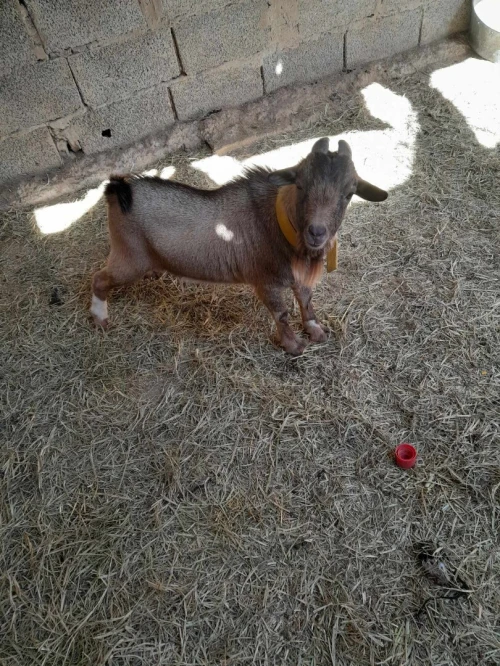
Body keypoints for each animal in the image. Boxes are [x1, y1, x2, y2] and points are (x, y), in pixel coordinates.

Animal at [91, 138, 387, 354]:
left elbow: (306, 300)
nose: (317, 233)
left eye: (349, 193)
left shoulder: (297, 276)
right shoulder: (265, 281)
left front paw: (315, 330)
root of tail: (117, 190)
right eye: (300, 185)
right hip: (128, 257)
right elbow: (281, 313)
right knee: (99, 279)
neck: (279, 221)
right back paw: (100, 317)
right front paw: (294, 346)